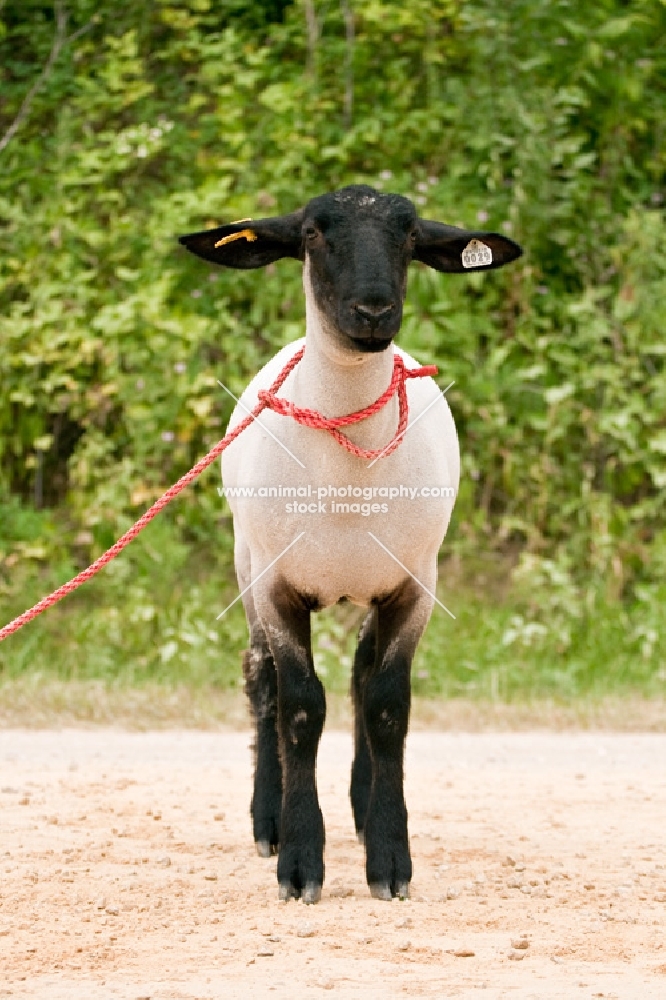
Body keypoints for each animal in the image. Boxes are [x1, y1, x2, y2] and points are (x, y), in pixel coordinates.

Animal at [179, 184, 520, 904]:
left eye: (411, 235)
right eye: (311, 232)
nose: (373, 310)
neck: (347, 475)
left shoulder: (415, 586)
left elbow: (388, 703)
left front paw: (389, 859)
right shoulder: (278, 588)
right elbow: (302, 708)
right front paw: (300, 862)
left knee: (363, 676)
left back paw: (363, 813)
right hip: (246, 563)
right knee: (262, 681)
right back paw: (267, 820)